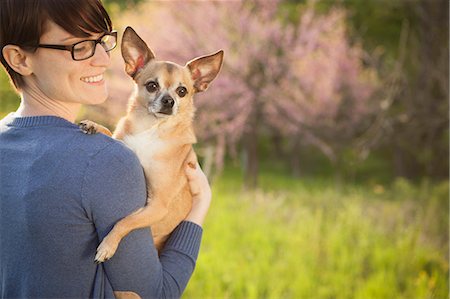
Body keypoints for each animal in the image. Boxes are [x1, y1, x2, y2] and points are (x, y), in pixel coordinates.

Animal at [81, 27, 225, 264]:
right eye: (152, 86)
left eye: (182, 91)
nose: (169, 101)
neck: (150, 129)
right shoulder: (125, 141)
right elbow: (112, 135)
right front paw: (95, 125)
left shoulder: (158, 205)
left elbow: (125, 221)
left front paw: (108, 245)